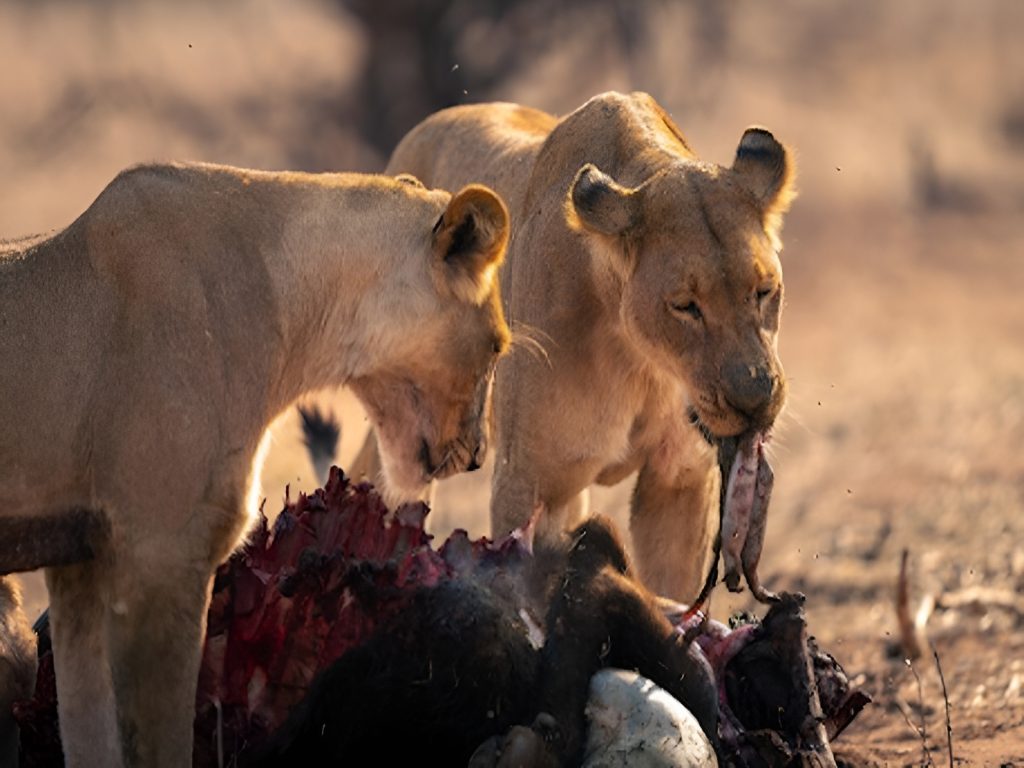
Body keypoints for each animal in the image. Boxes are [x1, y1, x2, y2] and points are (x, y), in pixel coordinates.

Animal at [0, 163, 512, 768]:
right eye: (497, 346)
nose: (478, 457)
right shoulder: (160, 557)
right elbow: (162, 742)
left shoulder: (83, 566)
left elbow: (89, 732)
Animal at [380, 93, 794, 606]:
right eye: (685, 307)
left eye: (764, 291)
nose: (755, 400)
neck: (642, 359)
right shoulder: (526, 485)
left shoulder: (679, 478)